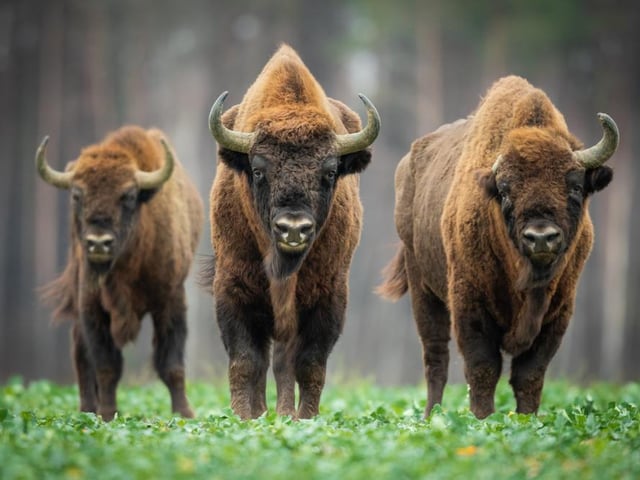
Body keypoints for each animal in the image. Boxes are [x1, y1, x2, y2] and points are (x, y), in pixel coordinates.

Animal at [38, 126, 204, 420]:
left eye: (128, 196)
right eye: (77, 195)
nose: (98, 243)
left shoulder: (171, 300)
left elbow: (171, 364)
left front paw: (184, 414)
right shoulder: (91, 306)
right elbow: (107, 365)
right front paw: (107, 414)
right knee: (81, 354)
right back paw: (87, 410)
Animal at [204, 44, 380, 419]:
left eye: (330, 172)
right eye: (258, 170)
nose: (293, 229)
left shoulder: (328, 297)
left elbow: (308, 365)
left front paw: (303, 418)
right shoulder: (233, 289)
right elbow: (245, 362)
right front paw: (243, 418)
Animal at [378, 76, 618, 418]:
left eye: (575, 186)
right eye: (505, 191)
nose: (541, 237)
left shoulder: (558, 312)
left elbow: (530, 374)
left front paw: (527, 420)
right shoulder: (470, 304)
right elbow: (483, 368)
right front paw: (484, 420)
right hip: (423, 288)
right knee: (436, 358)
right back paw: (430, 417)